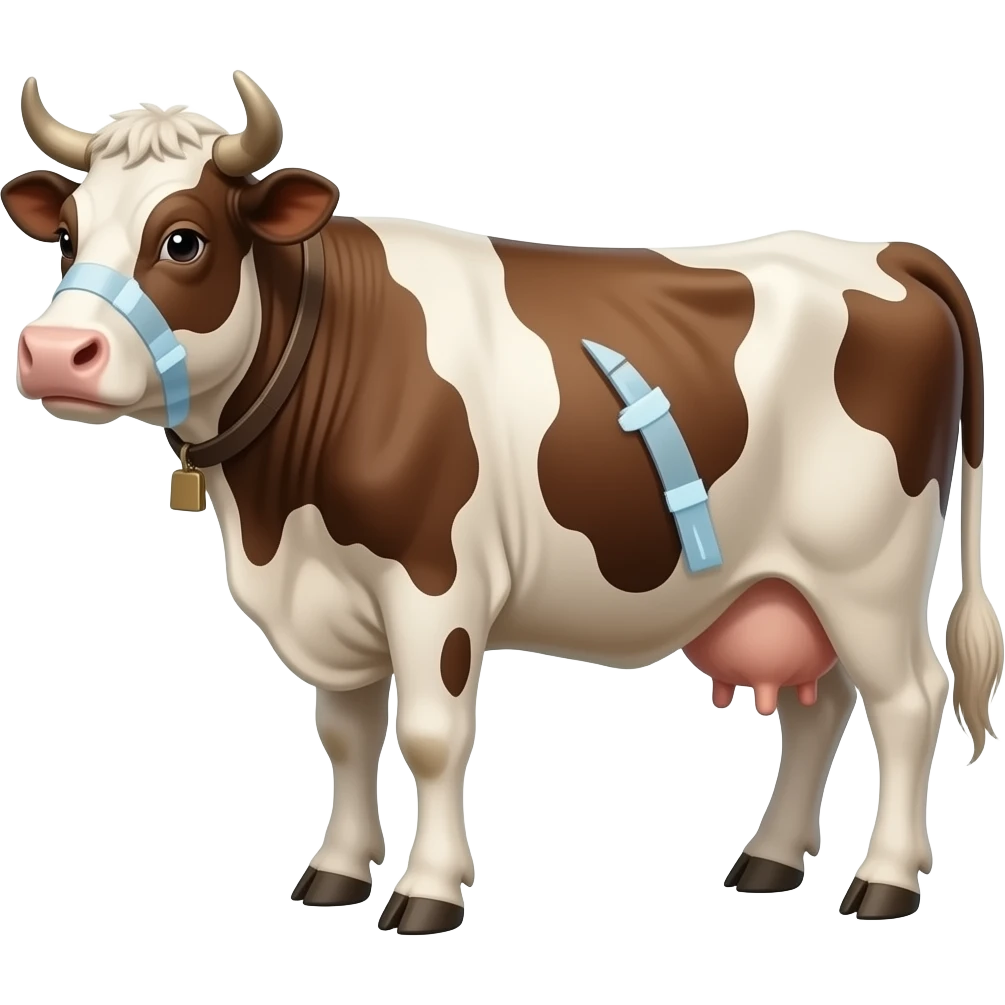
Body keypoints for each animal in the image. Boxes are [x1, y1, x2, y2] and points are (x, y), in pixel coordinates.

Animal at [4, 70, 1001, 934]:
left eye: (184, 239)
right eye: (66, 236)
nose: (54, 353)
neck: (275, 516)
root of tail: (882, 250)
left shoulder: (434, 583)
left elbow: (432, 735)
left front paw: (427, 893)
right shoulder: (331, 595)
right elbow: (345, 735)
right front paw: (334, 872)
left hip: (867, 571)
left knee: (908, 700)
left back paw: (882, 881)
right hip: (792, 582)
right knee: (817, 706)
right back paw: (767, 860)